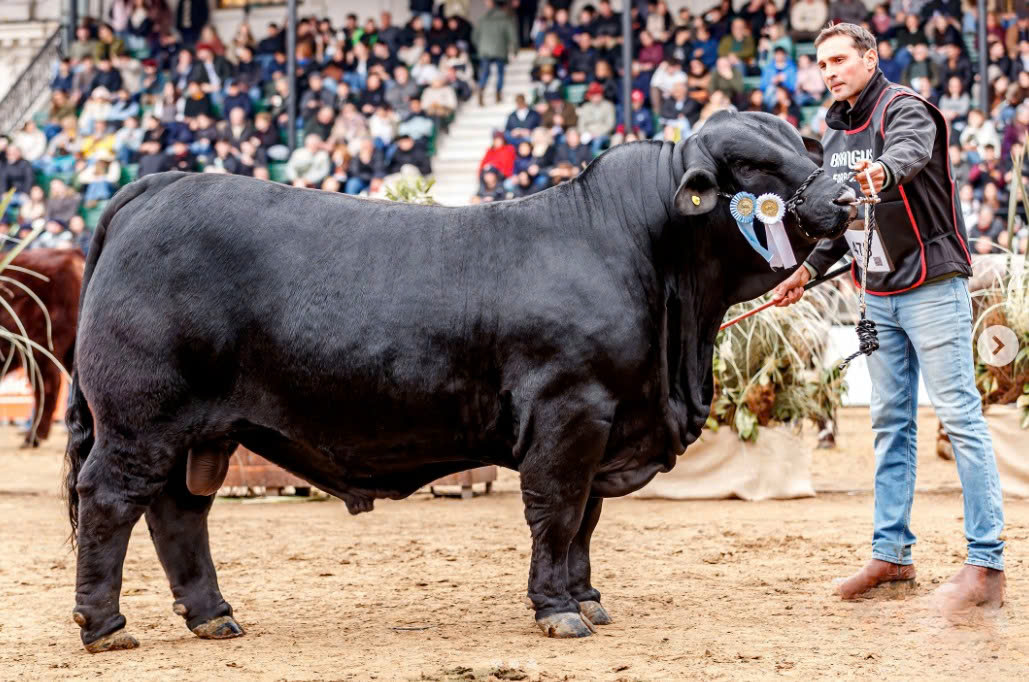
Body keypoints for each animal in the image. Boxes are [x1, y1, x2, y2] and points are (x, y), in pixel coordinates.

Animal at [65, 111, 856, 652]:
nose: (847, 198)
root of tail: (160, 184)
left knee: (178, 512)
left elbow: (585, 521)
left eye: (806, 145)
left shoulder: (605, 424)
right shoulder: (570, 413)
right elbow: (557, 512)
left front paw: (586, 597)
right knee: (110, 501)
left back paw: (212, 616)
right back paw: (104, 625)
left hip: (197, 429)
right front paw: (557, 610)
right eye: (752, 167)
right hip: (139, 419)